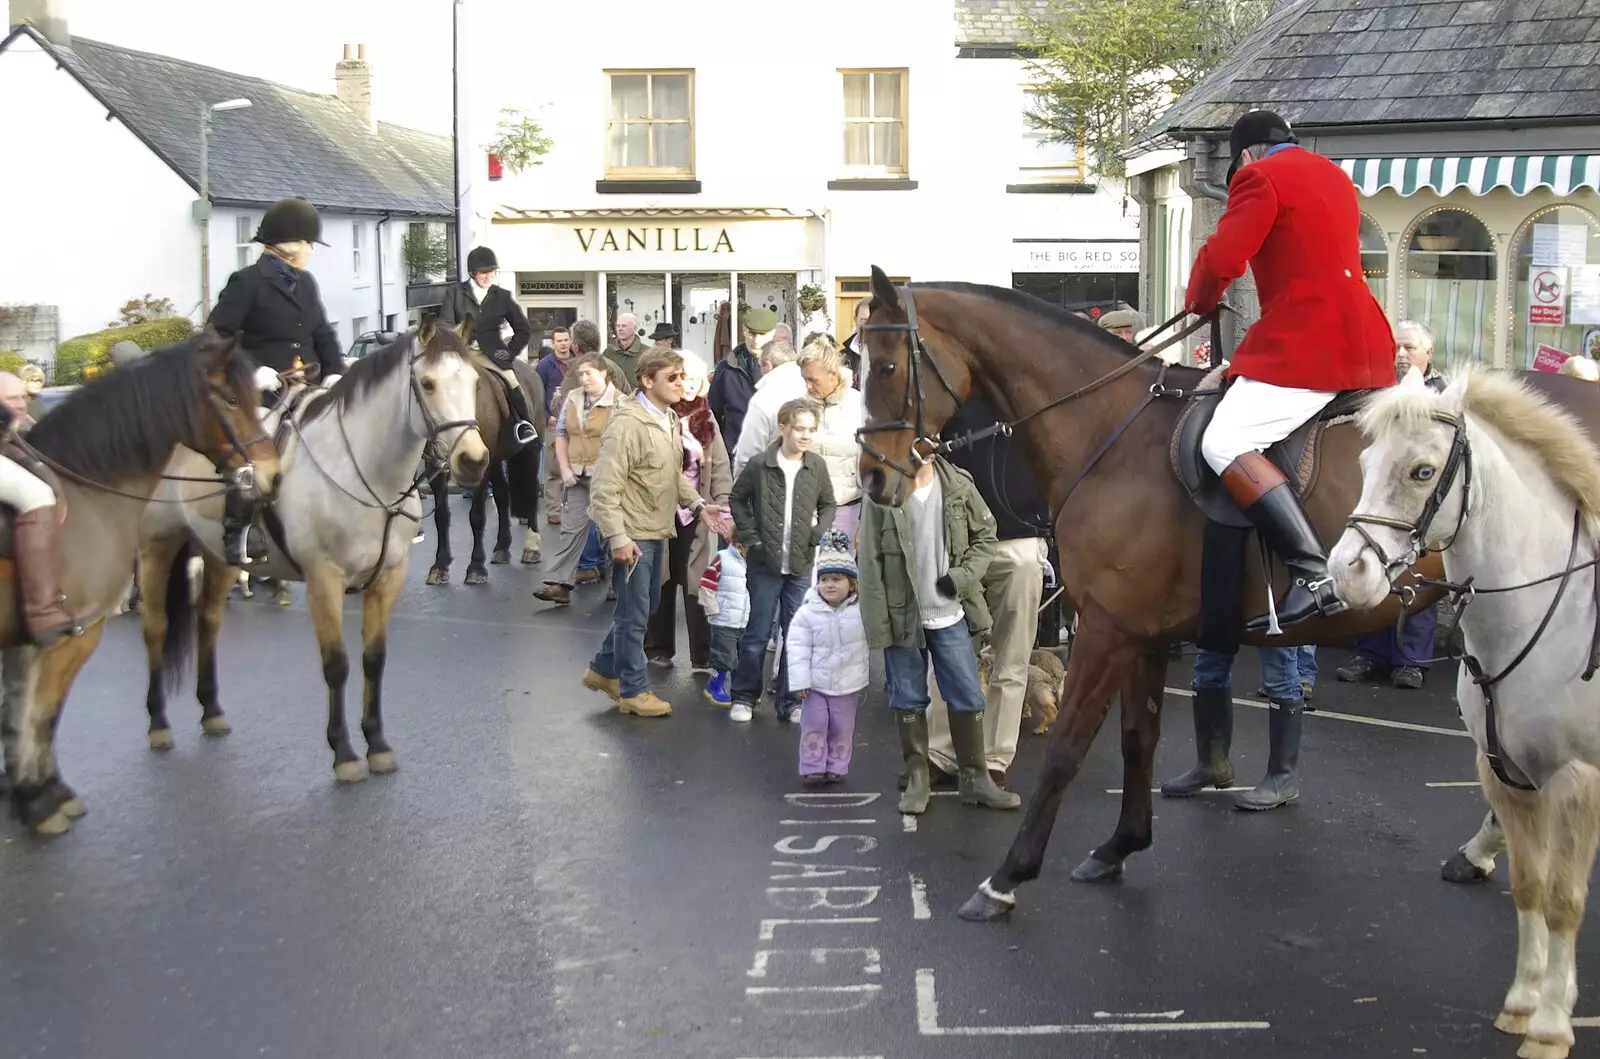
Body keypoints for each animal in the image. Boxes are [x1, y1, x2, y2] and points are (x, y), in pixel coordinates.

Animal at [1, 334, 275, 838]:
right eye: (230, 399)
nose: (270, 474)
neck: (80, 492)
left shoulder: (26, 645)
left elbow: (23, 718)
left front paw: (36, 793)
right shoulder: (71, 637)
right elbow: (42, 716)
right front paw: (41, 803)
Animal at [135, 319, 486, 783]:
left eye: (476, 382)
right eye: (427, 383)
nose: (474, 461)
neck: (364, 473)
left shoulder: (388, 577)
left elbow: (374, 659)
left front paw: (377, 744)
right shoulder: (324, 579)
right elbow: (336, 664)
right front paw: (345, 754)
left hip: (218, 555)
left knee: (207, 619)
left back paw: (211, 710)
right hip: (156, 546)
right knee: (156, 627)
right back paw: (157, 721)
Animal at [857, 270, 1600, 927]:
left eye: (886, 367)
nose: (872, 479)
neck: (1111, 431)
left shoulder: (1104, 630)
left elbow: (1067, 749)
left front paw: (1007, 878)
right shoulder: (1142, 634)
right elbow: (1139, 736)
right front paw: (1120, 845)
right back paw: (1479, 851)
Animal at [1331, 367, 1600, 1059]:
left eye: (1423, 472)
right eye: (1364, 461)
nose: (1347, 574)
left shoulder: (1576, 783)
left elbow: (1564, 900)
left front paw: (1552, 1026)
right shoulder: (1505, 775)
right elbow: (1531, 886)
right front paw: (1524, 1002)